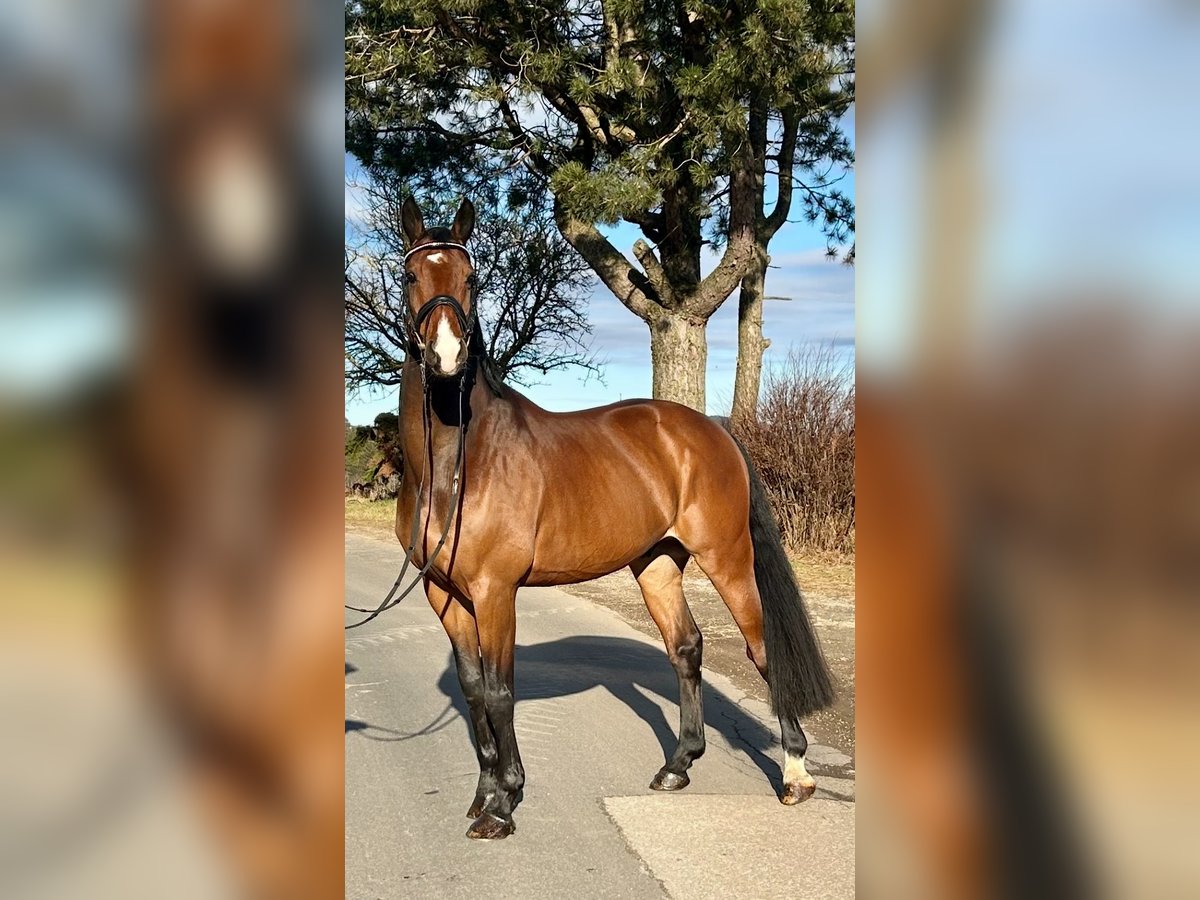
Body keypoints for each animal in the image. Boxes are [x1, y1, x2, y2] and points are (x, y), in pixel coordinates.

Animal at [376, 195, 835, 840]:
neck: (460, 461)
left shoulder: (495, 592)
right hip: (657, 563)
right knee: (686, 646)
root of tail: (713, 430)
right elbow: (472, 693)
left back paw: (795, 775)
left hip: (727, 558)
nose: (446, 357)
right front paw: (483, 794)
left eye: (470, 278)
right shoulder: (444, 594)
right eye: (411, 275)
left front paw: (503, 804)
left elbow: (499, 691)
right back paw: (678, 766)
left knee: (762, 646)